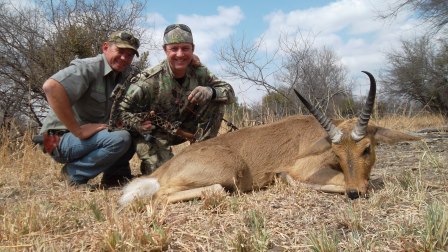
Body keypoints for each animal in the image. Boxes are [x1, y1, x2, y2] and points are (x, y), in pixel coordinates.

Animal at [119, 71, 420, 207]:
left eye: (367, 149)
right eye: (337, 153)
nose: (355, 192)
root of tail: (162, 170)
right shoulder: (305, 168)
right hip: (230, 173)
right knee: (165, 194)